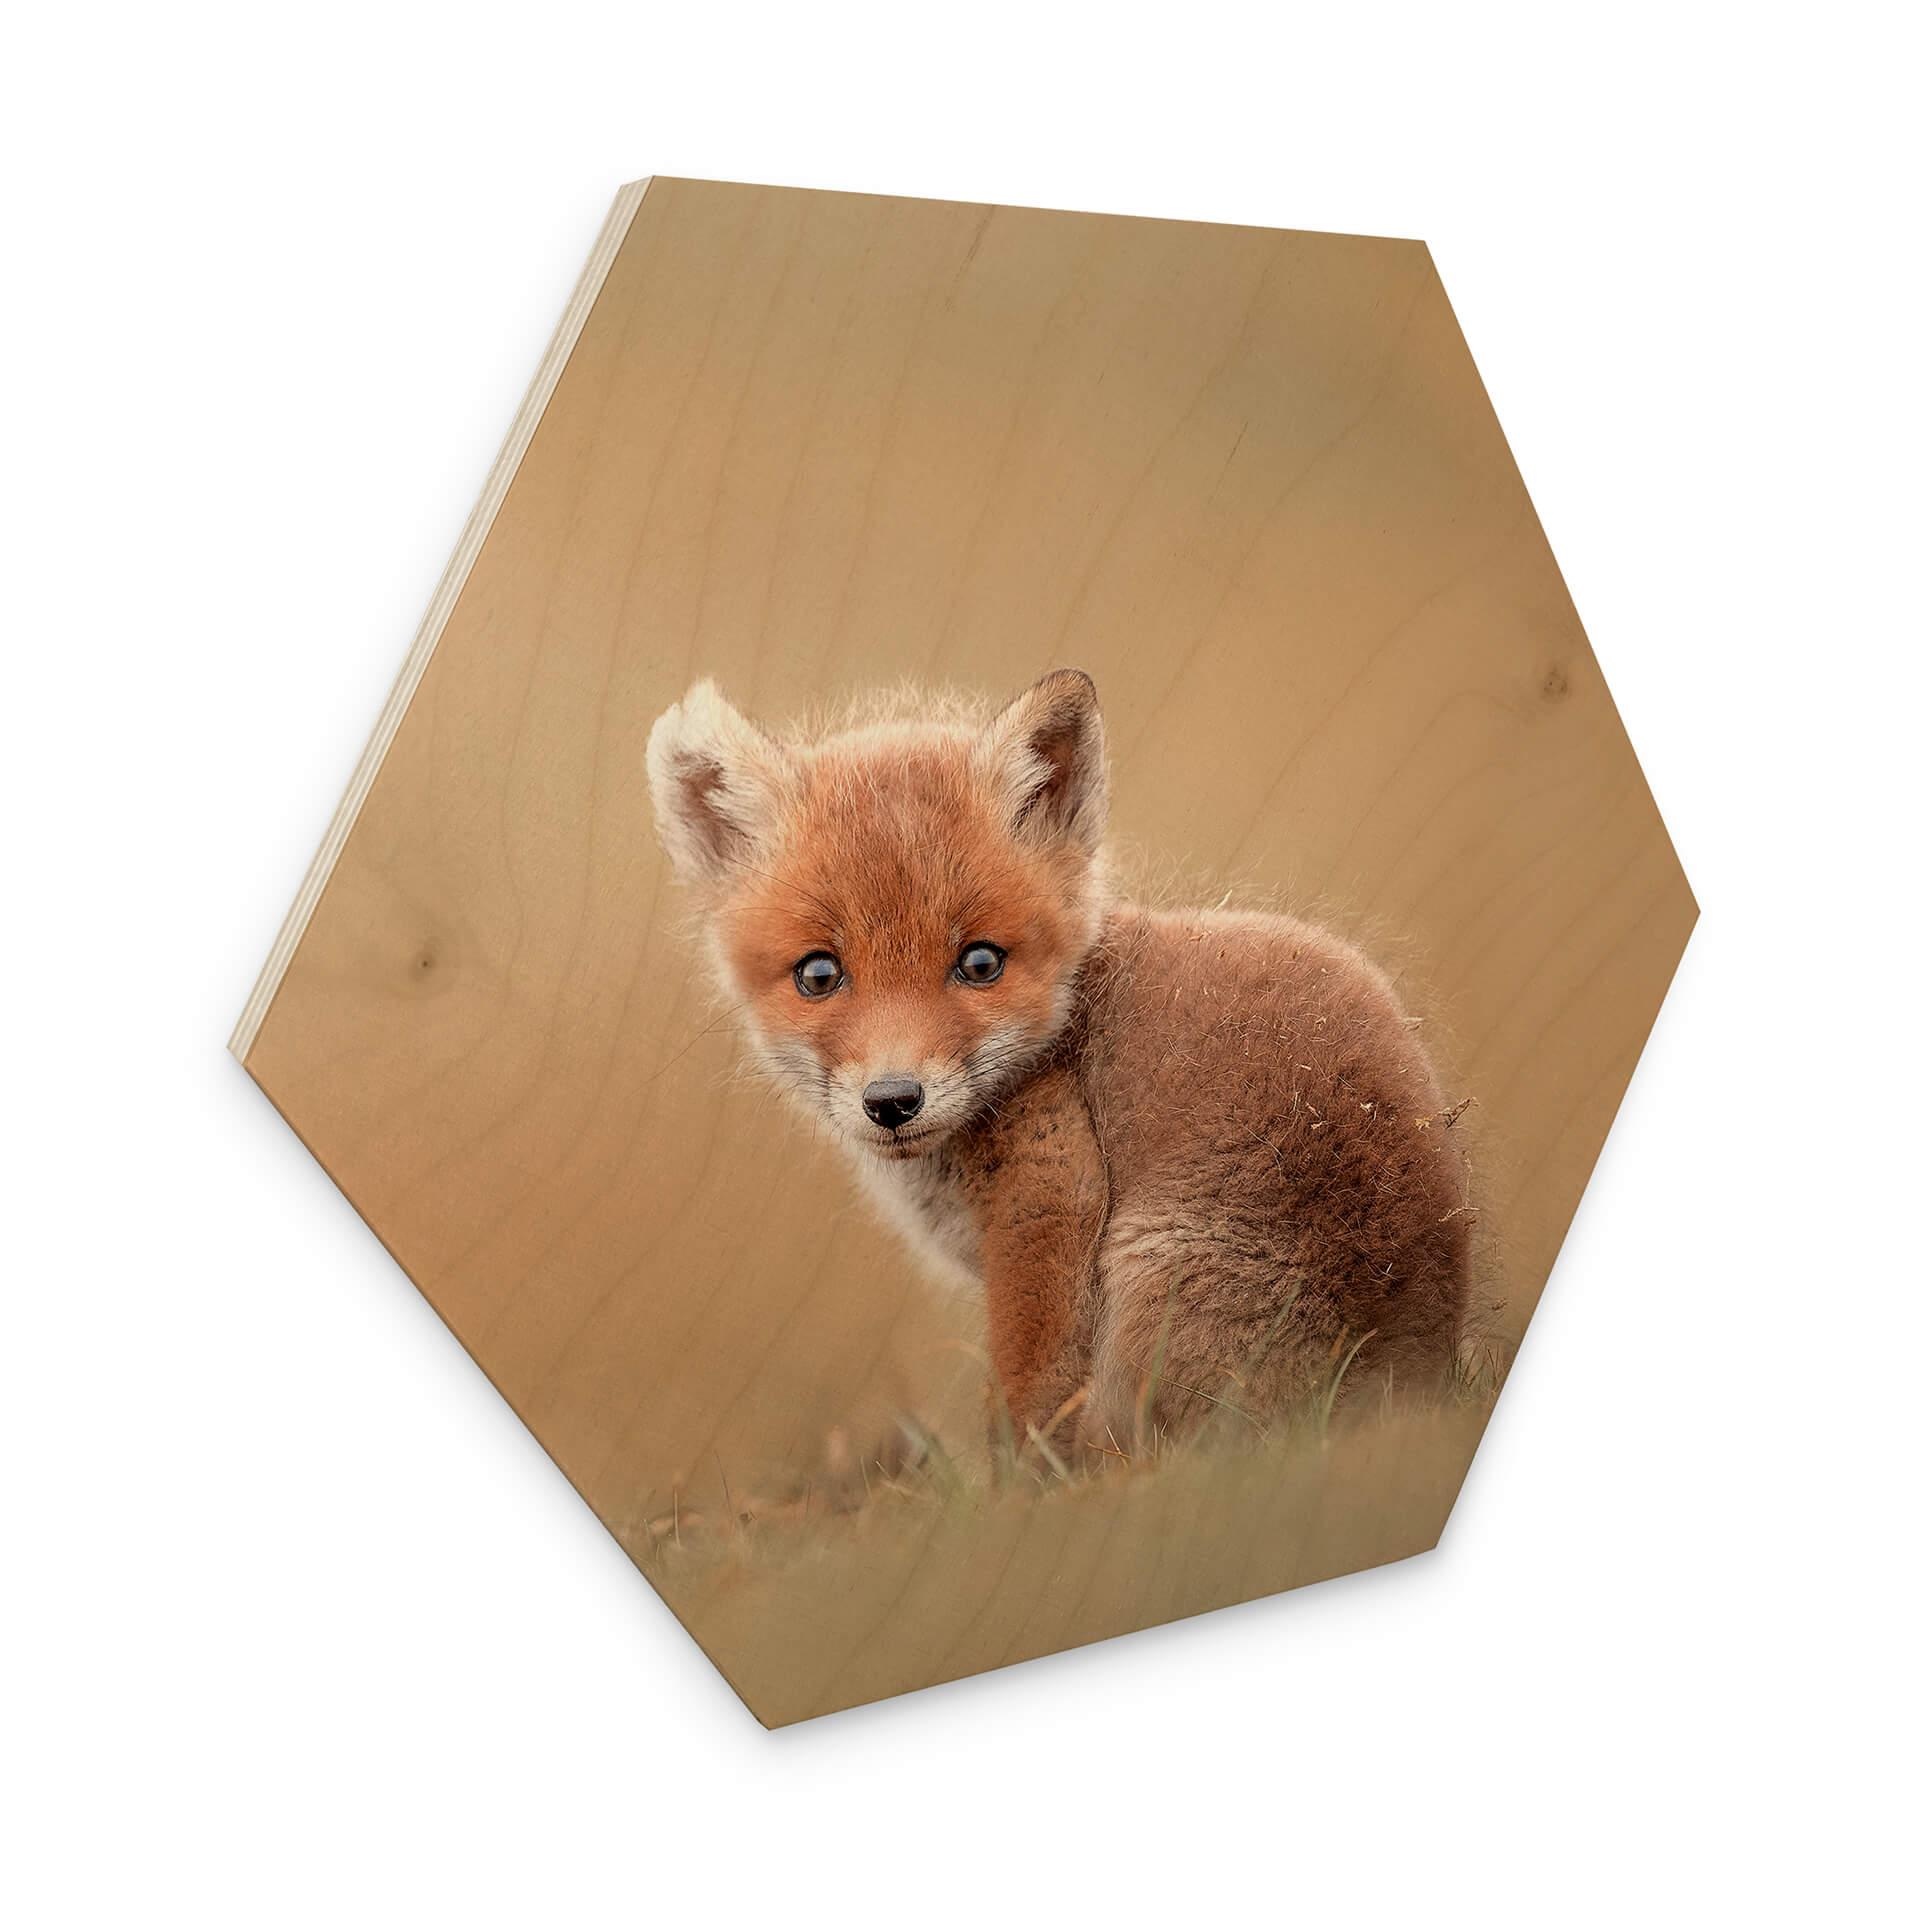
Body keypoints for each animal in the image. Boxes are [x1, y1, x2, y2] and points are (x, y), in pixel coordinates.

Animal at [646, 668, 1474, 1456]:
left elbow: (1028, 1405)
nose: (893, 1100)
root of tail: (1410, 1373)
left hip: (1151, 1287)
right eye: (818, 975)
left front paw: (1019, 1500)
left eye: (980, 963)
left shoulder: (1049, 1197)